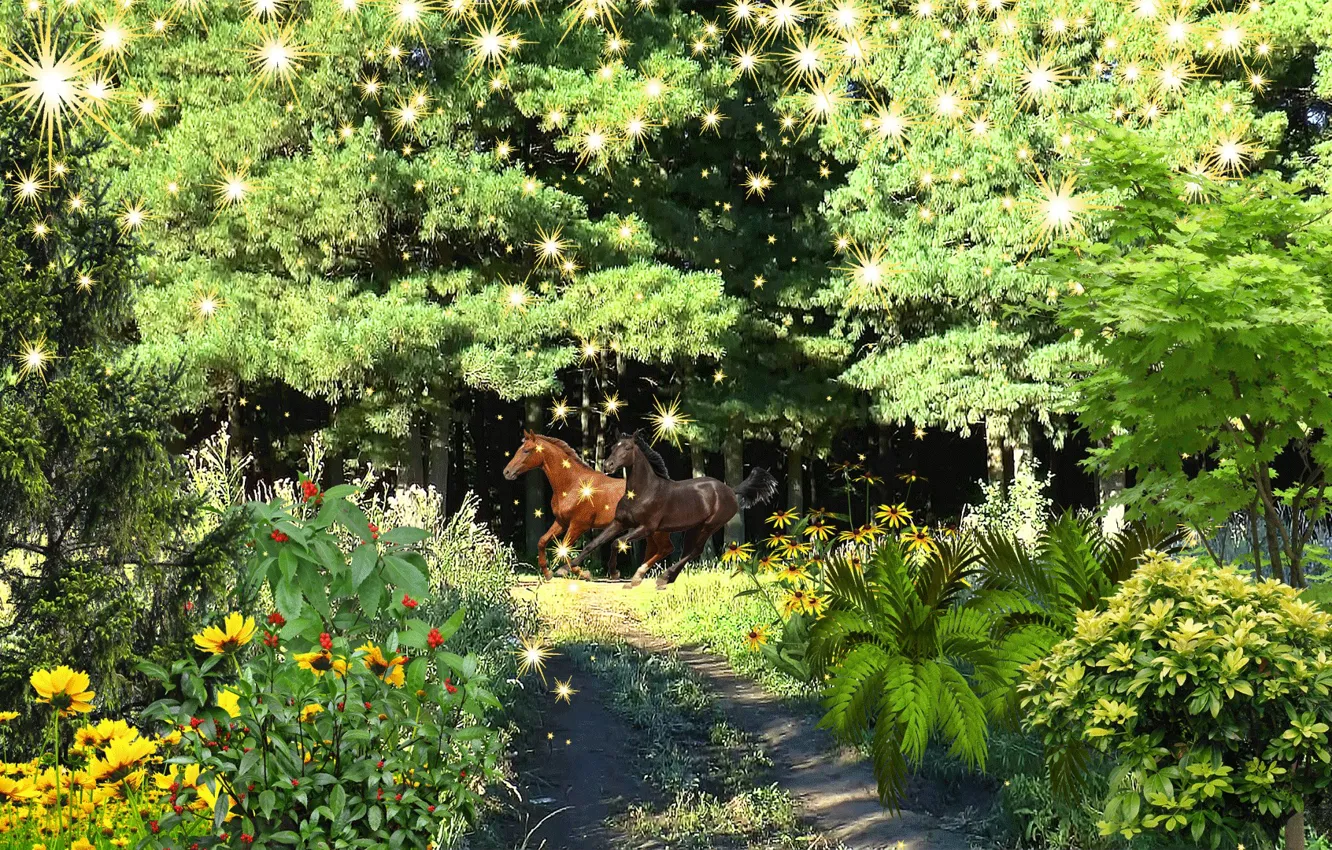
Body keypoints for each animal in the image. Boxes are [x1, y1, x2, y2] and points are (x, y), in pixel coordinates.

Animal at [502, 430, 673, 580]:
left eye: (526, 451)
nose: (506, 472)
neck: (572, 485)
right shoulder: (562, 522)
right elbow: (542, 541)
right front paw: (547, 573)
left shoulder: (579, 525)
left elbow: (565, 548)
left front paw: (580, 573)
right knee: (655, 550)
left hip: (656, 530)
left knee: (665, 549)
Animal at [569, 431, 779, 588]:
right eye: (613, 447)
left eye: (627, 448)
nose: (608, 465)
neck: (644, 491)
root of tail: (731, 490)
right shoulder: (620, 522)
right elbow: (594, 543)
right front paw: (567, 568)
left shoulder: (647, 527)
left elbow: (616, 543)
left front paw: (614, 573)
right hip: (694, 527)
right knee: (686, 550)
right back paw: (663, 579)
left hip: (710, 526)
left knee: (694, 551)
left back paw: (662, 578)